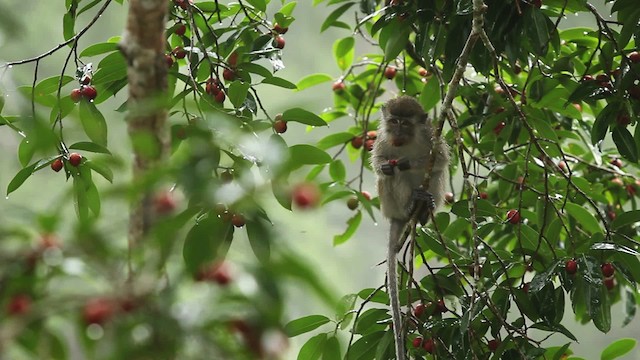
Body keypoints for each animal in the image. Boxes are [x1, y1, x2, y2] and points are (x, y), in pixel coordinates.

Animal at [370, 95, 450, 360]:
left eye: (405, 123)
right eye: (394, 121)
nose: (397, 133)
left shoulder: (429, 135)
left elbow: (441, 159)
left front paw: (407, 163)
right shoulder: (383, 140)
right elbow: (378, 163)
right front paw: (387, 165)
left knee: (436, 173)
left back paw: (425, 208)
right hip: (389, 204)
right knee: (390, 177)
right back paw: (410, 206)